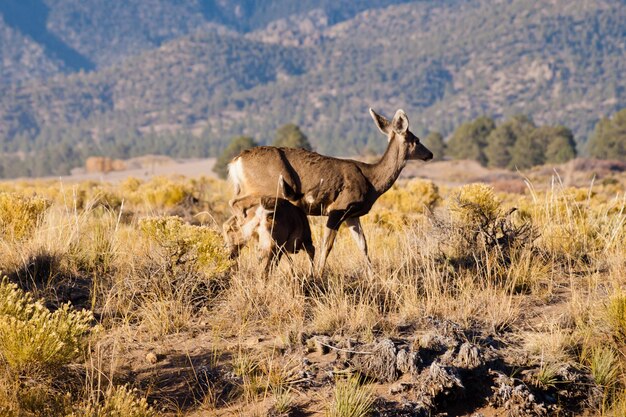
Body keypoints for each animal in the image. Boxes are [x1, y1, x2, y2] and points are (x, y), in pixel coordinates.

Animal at [225, 109, 434, 272]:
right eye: (416, 139)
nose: (430, 154)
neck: (372, 181)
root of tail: (235, 161)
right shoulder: (338, 208)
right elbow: (327, 245)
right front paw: (318, 272)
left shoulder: (352, 214)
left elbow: (363, 244)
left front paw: (373, 275)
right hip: (263, 189)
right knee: (235, 206)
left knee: (230, 220)